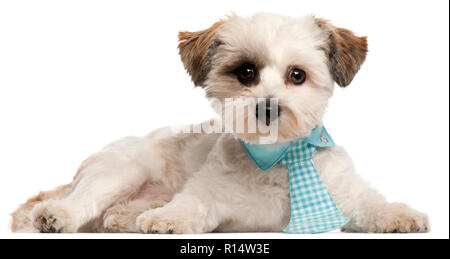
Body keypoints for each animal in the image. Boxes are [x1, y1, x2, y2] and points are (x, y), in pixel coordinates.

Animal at [12, 13, 430, 235]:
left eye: (297, 75)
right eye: (246, 72)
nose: (268, 109)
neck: (276, 158)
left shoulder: (343, 193)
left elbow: (370, 203)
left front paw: (399, 214)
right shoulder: (209, 196)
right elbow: (190, 205)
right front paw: (168, 218)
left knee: (113, 215)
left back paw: (130, 215)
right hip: (120, 171)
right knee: (82, 200)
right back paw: (58, 215)